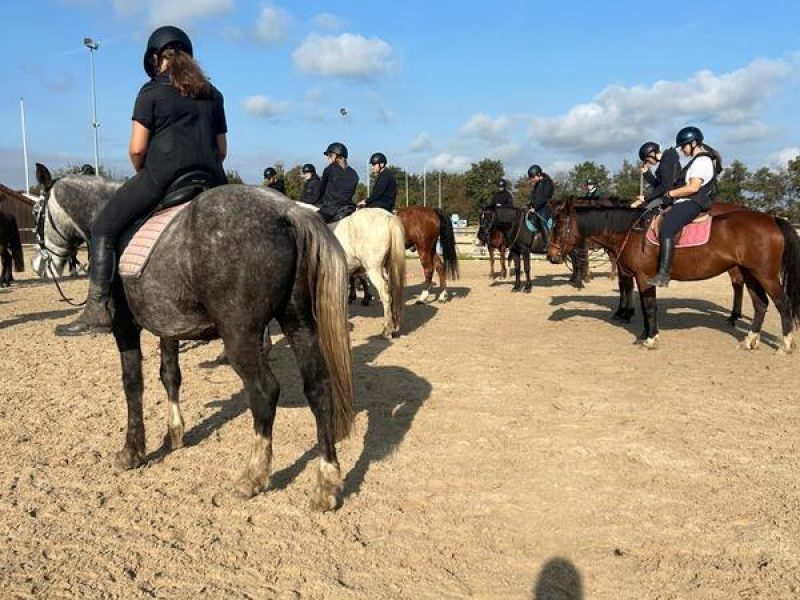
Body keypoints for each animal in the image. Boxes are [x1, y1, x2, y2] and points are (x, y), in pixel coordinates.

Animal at [33, 164, 354, 510]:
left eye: (37, 211)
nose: (39, 265)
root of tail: (287, 210)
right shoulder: (168, 326)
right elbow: (170, 375)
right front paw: (174, 434)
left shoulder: (125, 328)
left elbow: (132, 383)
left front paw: (132, 450)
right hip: (299, 323)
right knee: (319, 389)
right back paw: (326, 484)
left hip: (240, 335)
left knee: (265, 392)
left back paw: (252, 477)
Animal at [548, 199, 800, 350]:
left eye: (559, 227)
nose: (551, 256)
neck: (631, 230)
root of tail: (772, 219)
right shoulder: (637, 277)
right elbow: (645, 305)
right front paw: (644, 333)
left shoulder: (644, 277)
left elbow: (649, 307)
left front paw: (650, 338)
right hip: (751, 273)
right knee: (760, 304)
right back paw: (749, 339)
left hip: (765, 274)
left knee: (783, 303)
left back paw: (786, 344)